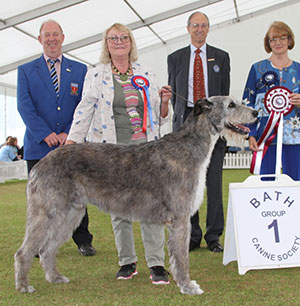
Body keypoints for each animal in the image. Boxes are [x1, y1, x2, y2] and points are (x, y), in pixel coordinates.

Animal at [14, 97, 258, 296]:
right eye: (231, 105)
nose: (256, 113)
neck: (189, 147)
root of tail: (40, 164)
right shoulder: (181, 218)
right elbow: (182, 257)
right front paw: (188, 286)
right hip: (47, 212)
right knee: (24, 252)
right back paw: (24, 286)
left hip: (69, 214)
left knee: (47, 249)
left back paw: (54, 277)